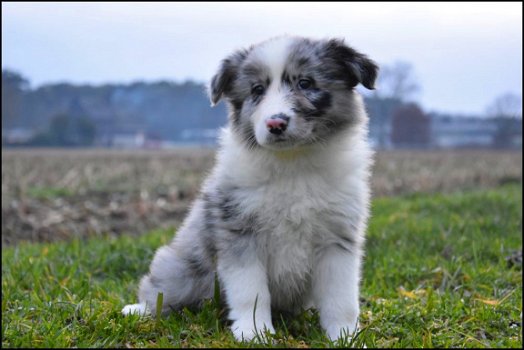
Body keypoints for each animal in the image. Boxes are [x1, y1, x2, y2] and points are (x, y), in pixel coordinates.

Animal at [123, 35, 376, 342]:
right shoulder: (240, 233)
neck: (292, 164)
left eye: (305, 83)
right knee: (158, 290)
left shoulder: (337, 240)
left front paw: (345, 337)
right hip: (182, 269)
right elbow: (251, 292)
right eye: (257, 90)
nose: (275, 122)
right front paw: (255, 332)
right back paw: (137, 311)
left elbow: (341, 299)